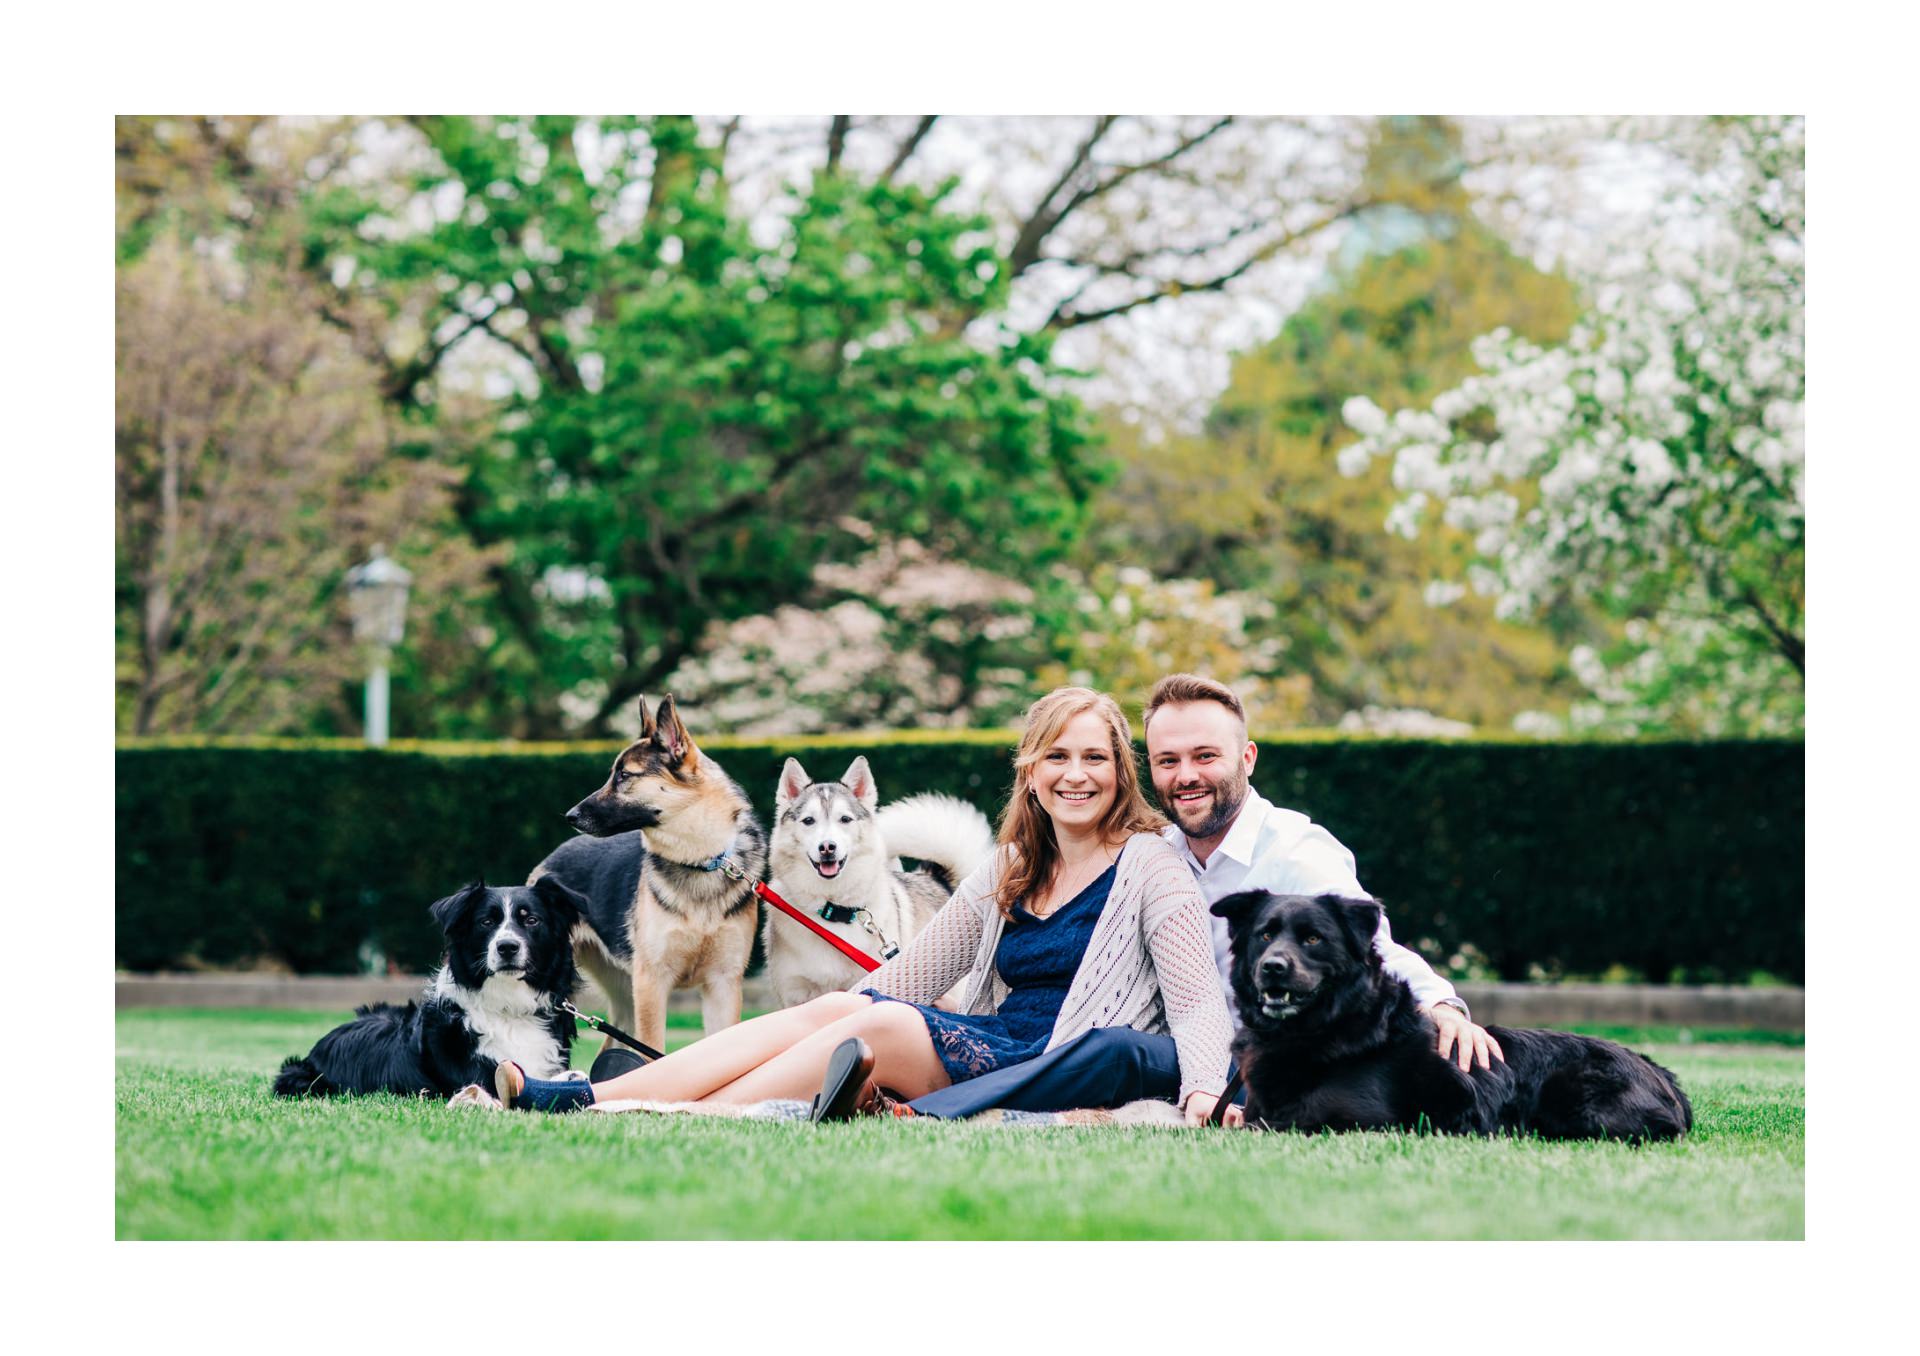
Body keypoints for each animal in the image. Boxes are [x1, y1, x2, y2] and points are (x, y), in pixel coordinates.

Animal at [529, 691, 768, 1052]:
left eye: (624, 776)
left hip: (625, 1003)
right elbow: (654, 1051)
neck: (702, 860)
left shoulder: (722, 986)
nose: (570, 816)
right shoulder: (653, 985)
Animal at [760, 756, 990, 1006]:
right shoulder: (794, 996)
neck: (834, 909)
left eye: (845, 819)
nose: (827, 847)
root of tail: (936, 879)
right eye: (808, 820)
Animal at [1213, 891, 1697, 1137]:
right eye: (1265, 935)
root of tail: (1663, 1077)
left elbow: (1244, 1129)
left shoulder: (1355, 1121)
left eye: (1313, 939)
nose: (1273, 967)